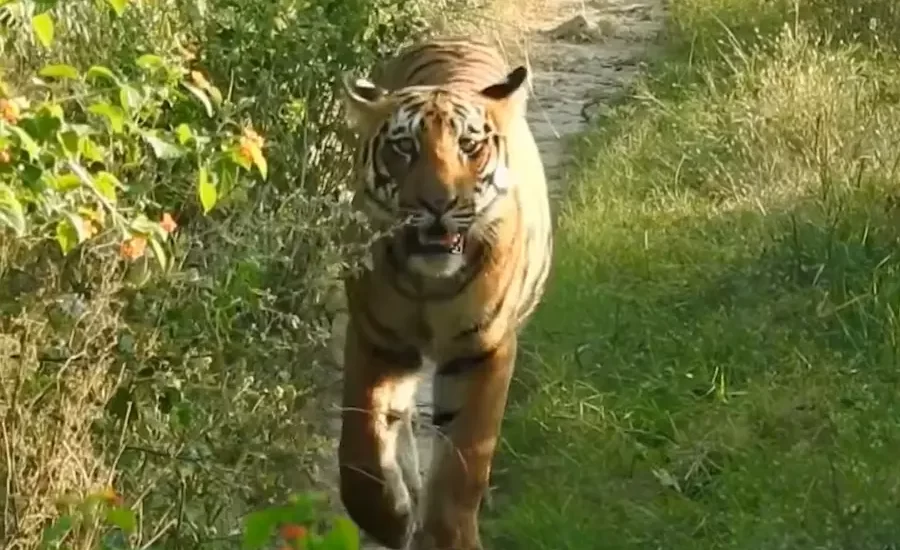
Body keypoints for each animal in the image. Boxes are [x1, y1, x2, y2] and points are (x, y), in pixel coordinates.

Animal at [334, 36, 552, 548]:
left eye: (468, 146)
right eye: (404, 147)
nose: (438, 203)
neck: (427, 286)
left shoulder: (484, 351)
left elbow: (464, 460)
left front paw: (446, 536)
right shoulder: (377, 340)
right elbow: (360, 449)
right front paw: (389, 519)